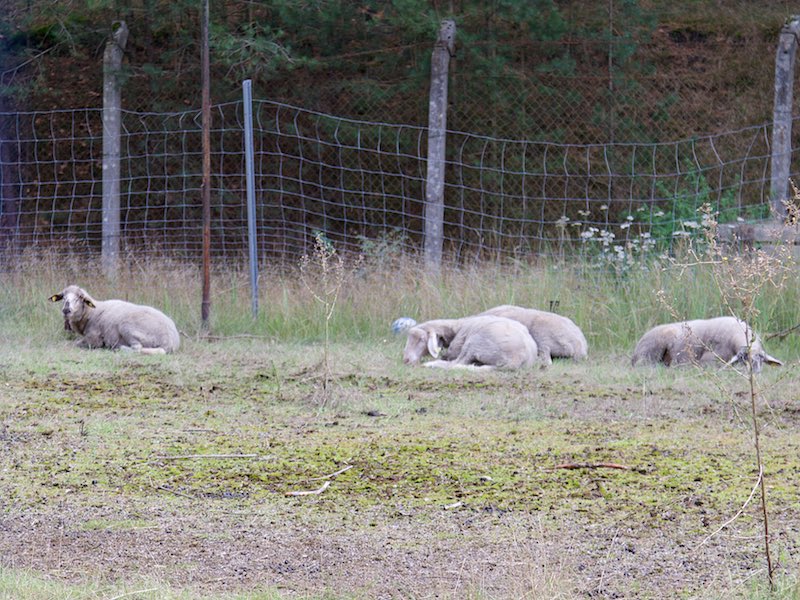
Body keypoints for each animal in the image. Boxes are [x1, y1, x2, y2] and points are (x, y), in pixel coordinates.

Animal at [49, 285, 180, 355]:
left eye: (79, 298)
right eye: (63, 297)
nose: (66, 310)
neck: (90, 313)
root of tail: (171, 341)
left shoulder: (93, 339)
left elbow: (73, 343)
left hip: (127, 326)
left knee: (137, 348)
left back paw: (119, 348)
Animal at [402, 315, 538, 370]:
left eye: (421, 339)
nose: (406, 360)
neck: (457, 327)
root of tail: (516, 359)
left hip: (475, 343)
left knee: (456, 364)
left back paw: (431, 364)